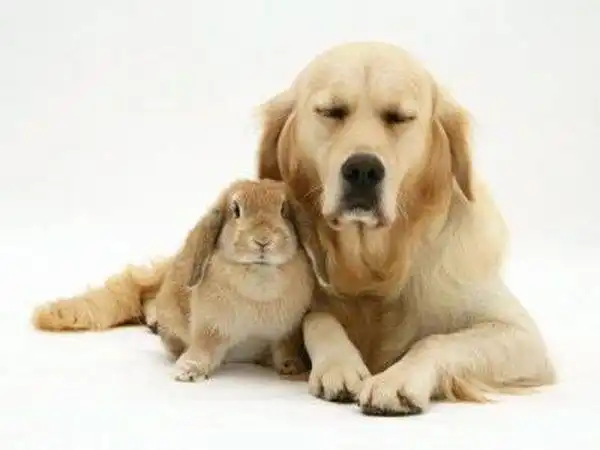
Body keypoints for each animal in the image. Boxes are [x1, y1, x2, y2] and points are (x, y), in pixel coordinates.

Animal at [152, 178, 327, 382]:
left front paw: (292, 368)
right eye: (236, 210)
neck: (259, 274)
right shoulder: (209, 328)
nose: (263, 240)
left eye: (283, 210)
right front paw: (186, 371)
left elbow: (285, 351)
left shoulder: (286, 334)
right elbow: (203, 348)